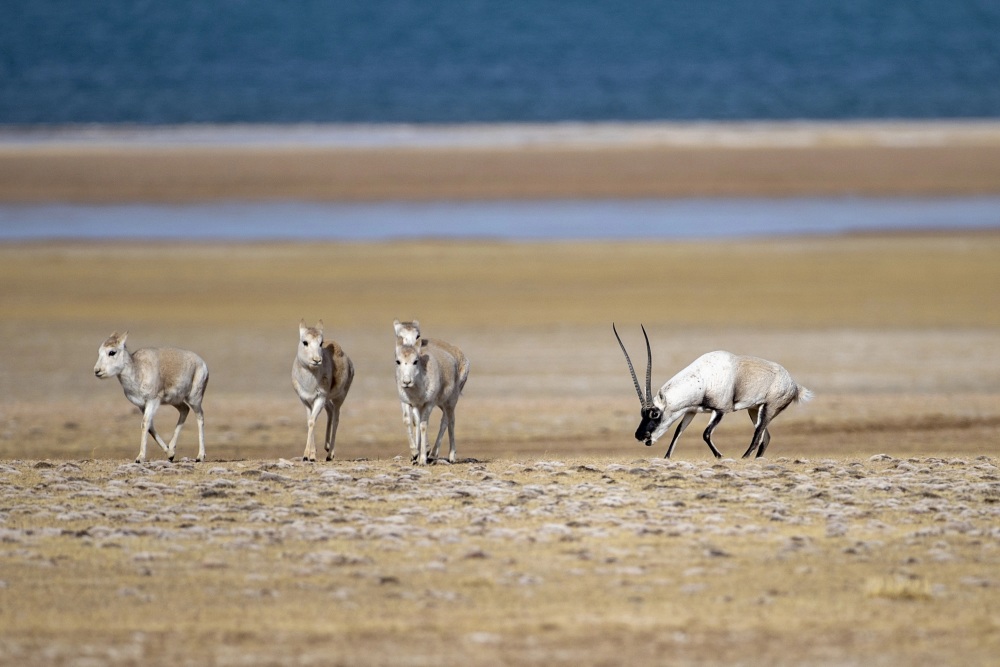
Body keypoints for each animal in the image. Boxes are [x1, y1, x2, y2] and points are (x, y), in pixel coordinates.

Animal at [94, 330, 210, 464]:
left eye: (112, 352)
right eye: (99, 352)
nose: (97, 371)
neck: (138, 369)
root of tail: (202, 362)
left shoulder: (152, 402)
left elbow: (145, 423)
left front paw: (140, 458)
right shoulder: (142, 405)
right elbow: (150, 427)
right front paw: (170, 454)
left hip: (194, 400)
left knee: (200, 418)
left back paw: (200, 456)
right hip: (175, 401)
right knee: (184, 410)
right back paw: (172, 449)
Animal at [608, 324, 812, 460]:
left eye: (655, 414)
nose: (640, 436)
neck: (703, 378)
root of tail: (794, 385)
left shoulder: (720, 410)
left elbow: (705, 433)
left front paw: (720, 456)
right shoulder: (691, 411)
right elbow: (678, 432)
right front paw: (666, 457)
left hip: (769, 408)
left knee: (758, 436)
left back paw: (744, 458)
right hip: (754, 410)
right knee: (765, 437)